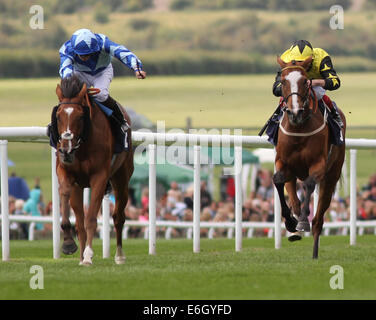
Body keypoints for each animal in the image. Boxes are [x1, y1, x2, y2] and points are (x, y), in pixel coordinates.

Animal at [54, 75, 133, 264]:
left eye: (80, 116)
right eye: (58, 116)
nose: (66, 150)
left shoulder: (100, 176)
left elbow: (91, 219)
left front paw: (89, 255)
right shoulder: (65, 171)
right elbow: (65, 193)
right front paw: (69, 243)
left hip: (122, 179)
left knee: (118, 217)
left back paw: (119, 255)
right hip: (79, 187)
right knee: (79, 220)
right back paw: (80, 254)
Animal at [274, 56, 346, 258]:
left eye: (305, 81)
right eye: (283, 81)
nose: (295, 112)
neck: (299, 128)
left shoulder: (318, 165)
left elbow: (308, 185)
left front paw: (302, 221)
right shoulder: (282, 162)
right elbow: (277, 180)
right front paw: (290, 222)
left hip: (331, 177)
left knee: (318, 220)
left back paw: (314, 251)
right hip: (293, 173)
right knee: (293, 196)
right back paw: (294, 228)